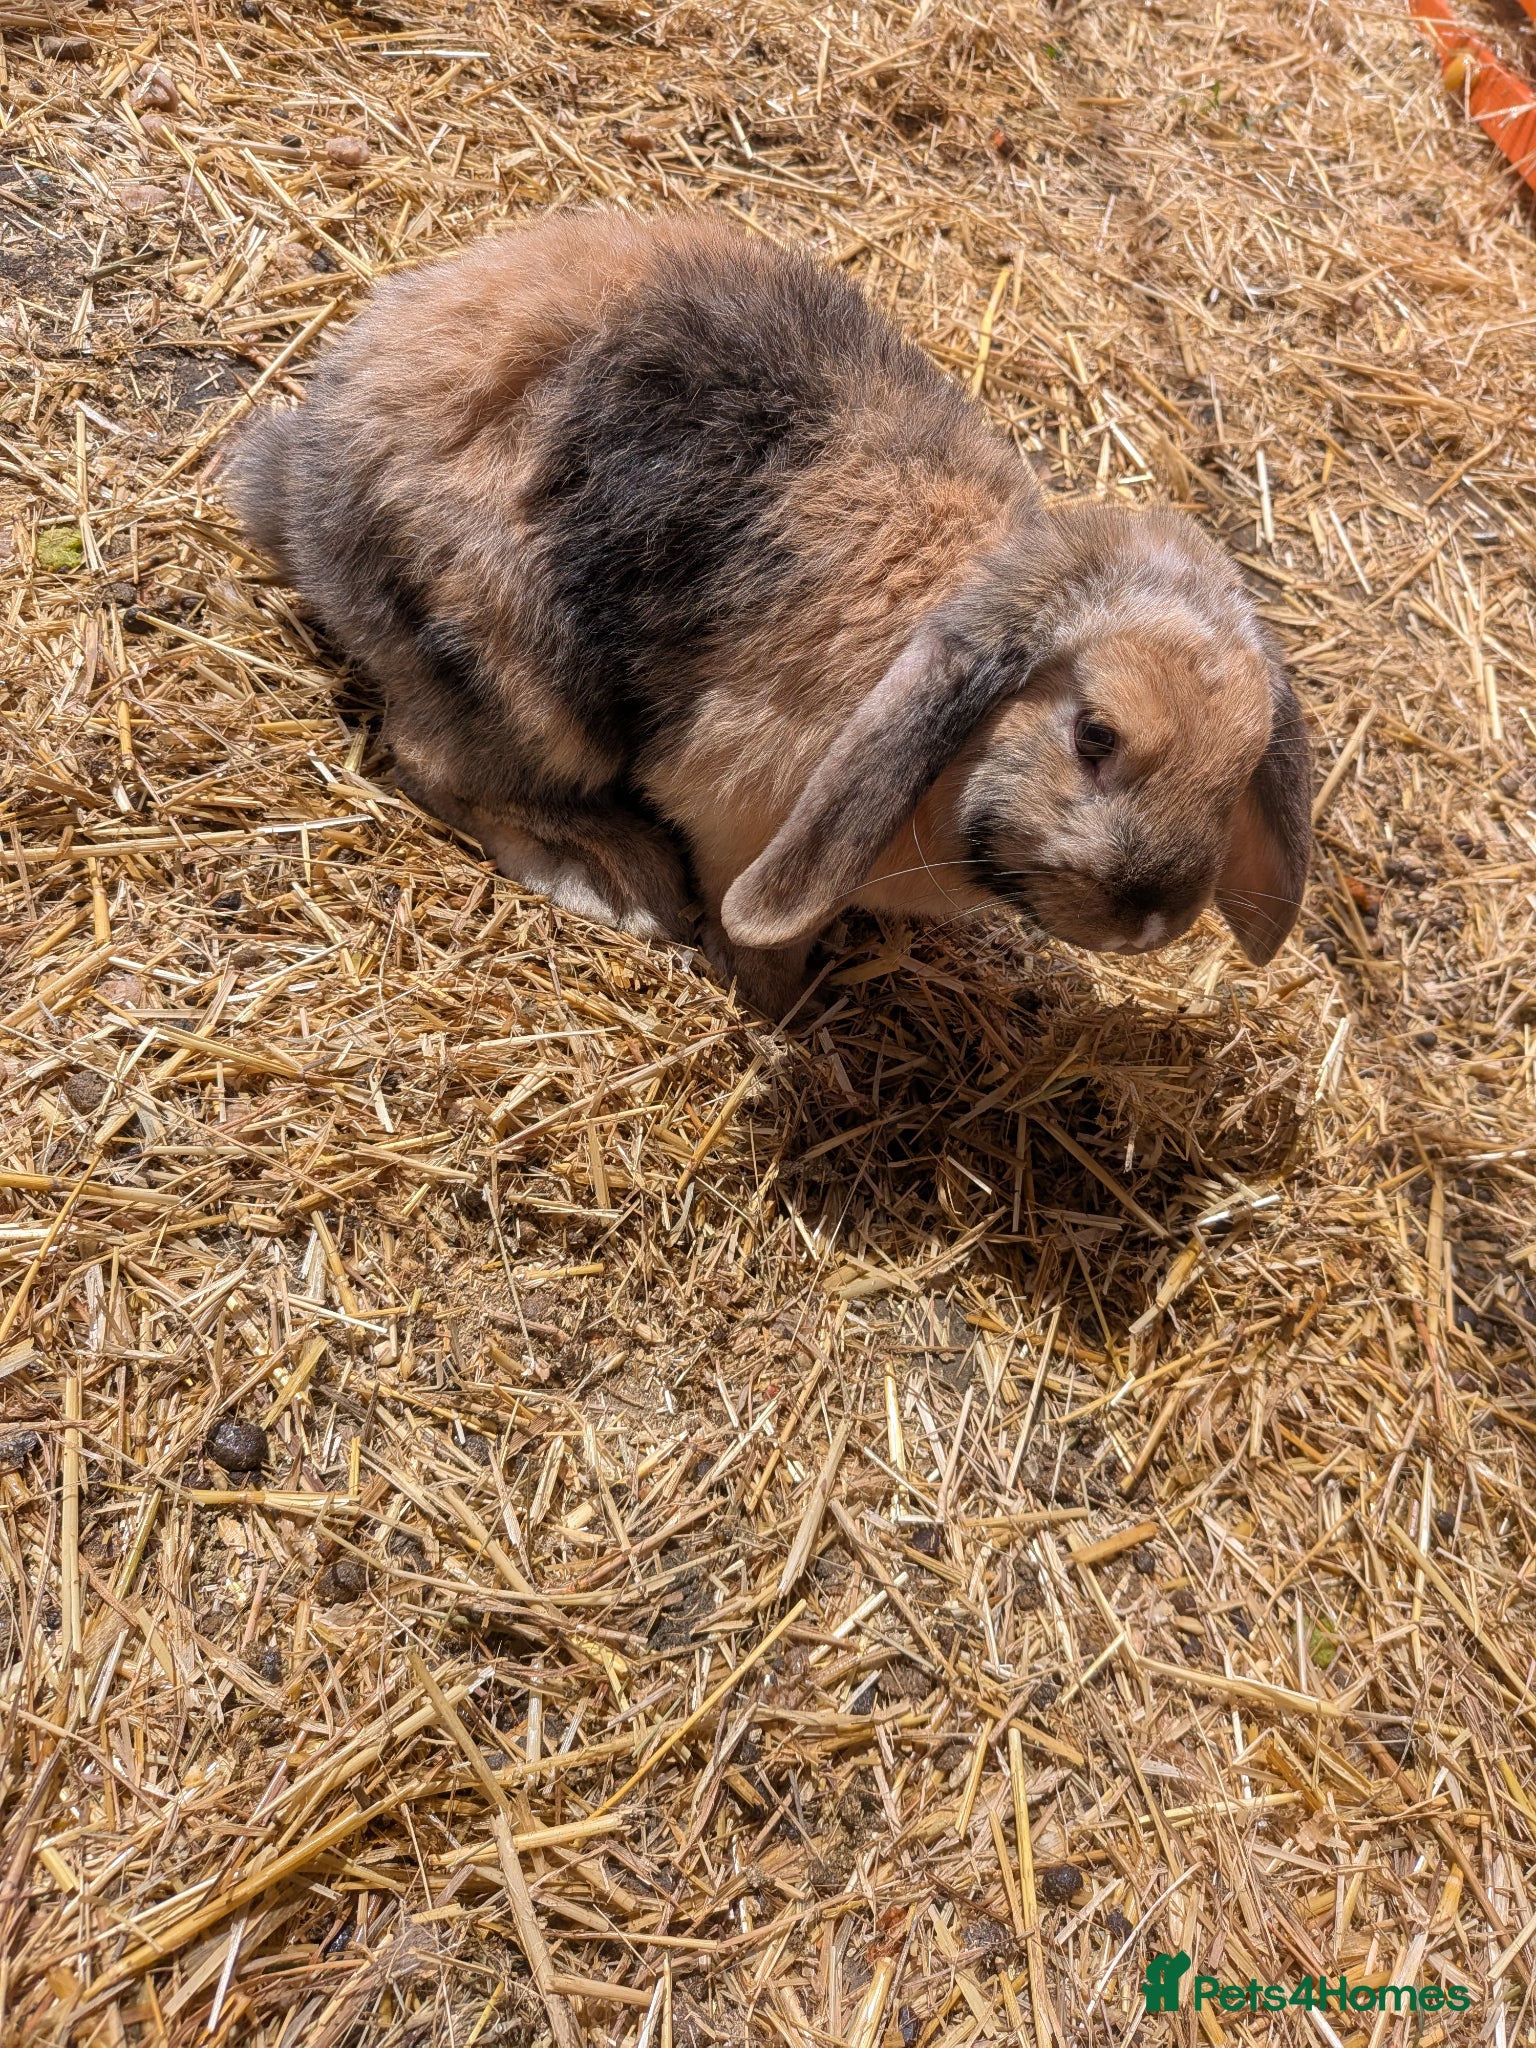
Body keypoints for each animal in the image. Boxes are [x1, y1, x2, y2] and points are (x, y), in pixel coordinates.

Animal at [232, 209, 1311, 1017]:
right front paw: (776, 999)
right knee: (440, 764)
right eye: (1095, 734)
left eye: (1237, 773)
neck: (953, 751)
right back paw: (619, 880)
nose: (1150, 920)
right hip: (515, 671)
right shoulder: (737, 812)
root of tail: (304, 476)